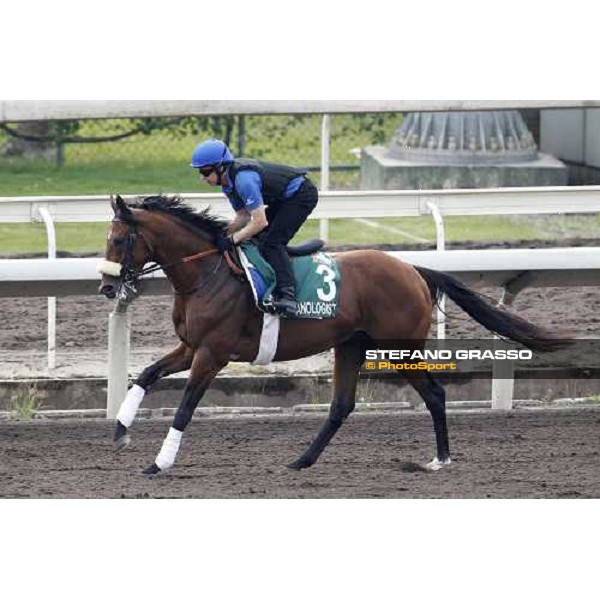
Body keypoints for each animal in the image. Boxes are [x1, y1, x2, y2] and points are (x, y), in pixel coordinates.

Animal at [98, 195, 572, 476]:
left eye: (119, 239)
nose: (105, 287)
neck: (207, 273)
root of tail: (413, 269)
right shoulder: (190, 346)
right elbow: (145, 375)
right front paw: (120, 433)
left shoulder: (213, 353)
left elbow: (184, 408)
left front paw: (159, 463)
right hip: (351, 345)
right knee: (342, 405)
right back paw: (301, 461)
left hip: (400, 348)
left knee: (435, 394)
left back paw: (439, 459)